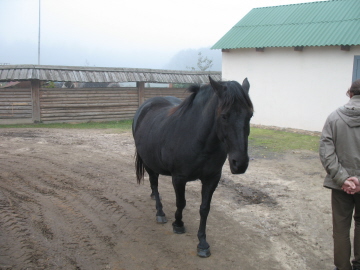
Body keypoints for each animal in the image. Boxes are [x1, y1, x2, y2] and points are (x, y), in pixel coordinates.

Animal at [132, 76, 253, 258]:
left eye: (250, 115)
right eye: (224, 116)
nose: (240, 164)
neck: (198, 139)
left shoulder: (212, 179)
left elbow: (204, 209)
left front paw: (202, 243)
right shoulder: (179, 178)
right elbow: (181, 203)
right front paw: (178, 224)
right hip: (149, 164)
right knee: (155, 184)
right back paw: (160, 213)